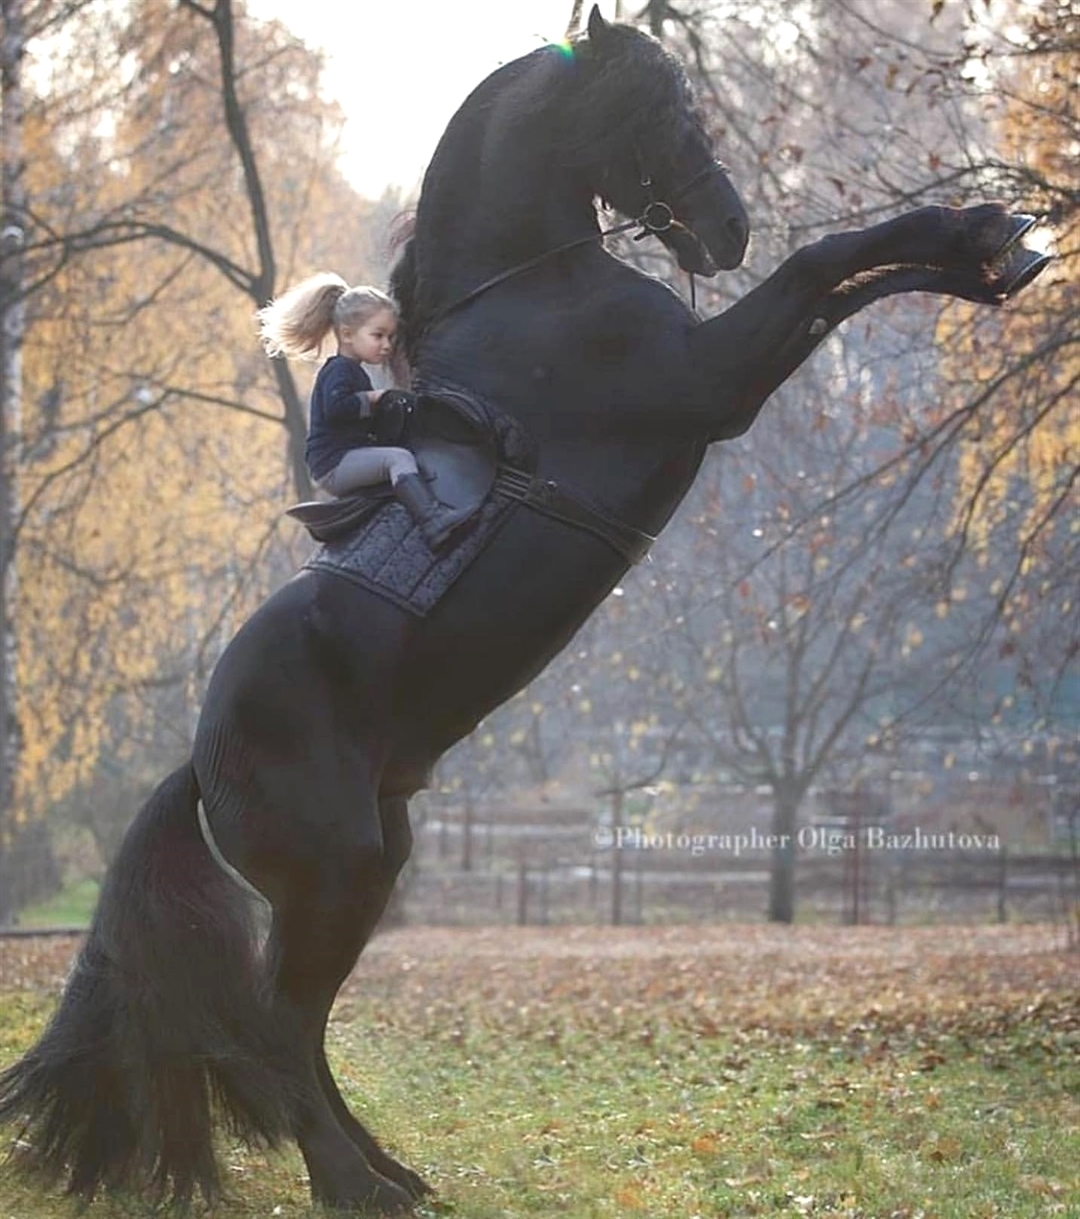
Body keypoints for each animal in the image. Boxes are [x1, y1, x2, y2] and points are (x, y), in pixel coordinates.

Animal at [0, 4, 1048, 1214]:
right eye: (659, 107)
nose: (728, 228)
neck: (531, 296)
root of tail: (200, 760)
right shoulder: (713, 379)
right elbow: (826, 263)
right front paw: (987, 231)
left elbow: (846, 280)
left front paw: (997, 252)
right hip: (335, 871)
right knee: (276, 1028)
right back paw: (353, 1184)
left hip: (371, 866)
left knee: (304, 1027)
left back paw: (392, 1171)